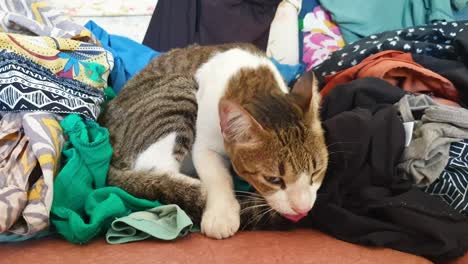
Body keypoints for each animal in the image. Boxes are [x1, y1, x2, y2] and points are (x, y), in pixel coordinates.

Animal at [100, 42, 328, 239]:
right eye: (273, 179)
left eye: (316, 172)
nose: (302, 209)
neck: (254, 82)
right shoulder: (204, 146)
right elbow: (217, 176)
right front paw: (222, 213)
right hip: (179, 93)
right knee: (157, 171)